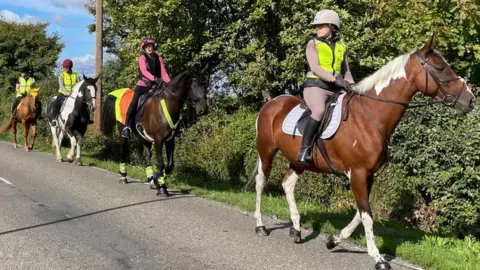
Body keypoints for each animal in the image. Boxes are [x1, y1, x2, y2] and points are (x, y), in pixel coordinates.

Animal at [100, 65, 207, 196]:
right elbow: (160, 163)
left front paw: (157, 180)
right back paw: (123, 177)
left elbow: (170, 165)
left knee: (147, 155)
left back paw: (151, 179)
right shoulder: (158, 140)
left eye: (205, 84)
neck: (167, 103)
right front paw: (162, 188)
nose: (203, 109)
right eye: (195, 85)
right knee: (124, 151)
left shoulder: (170, 140)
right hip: (123, 134)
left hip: (143, 136)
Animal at [251, 34, 476, 268]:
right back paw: (260, 226)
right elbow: (367, 215)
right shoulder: (357, 173)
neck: (369, 117)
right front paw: (378, 257)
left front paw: (334, 240)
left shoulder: (368, 175)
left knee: (288, 184)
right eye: (440, 67)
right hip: (266, 152)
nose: (470, 100)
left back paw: (296, 230)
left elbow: (361, 212)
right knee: (261, 183)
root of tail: (272, 104)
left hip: (299, 161)